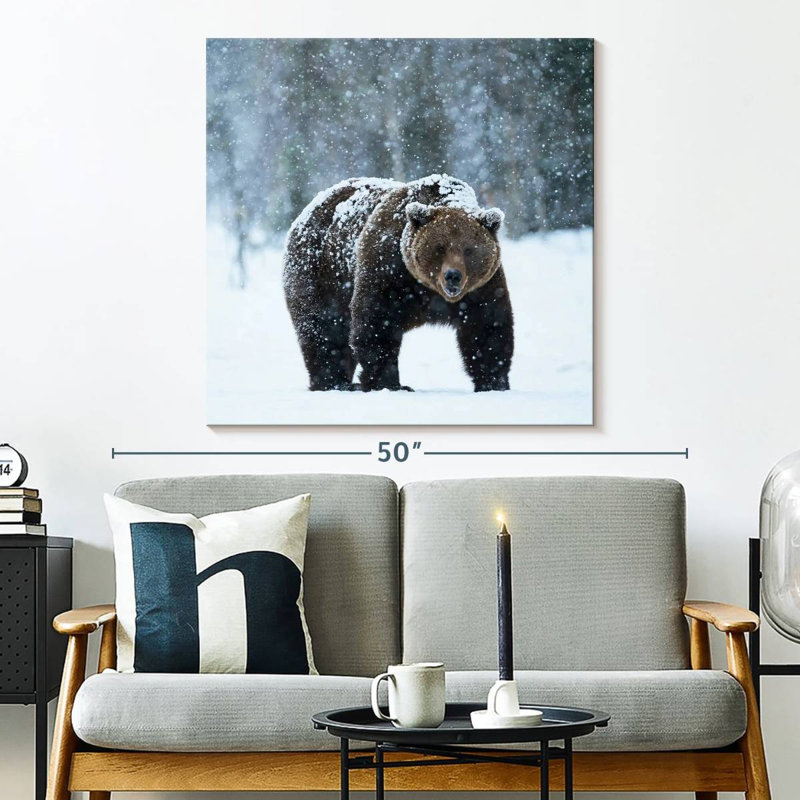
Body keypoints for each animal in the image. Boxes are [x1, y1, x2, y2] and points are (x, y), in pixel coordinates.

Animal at [283, 174, 513, 392]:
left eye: (469, 250)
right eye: (440, 247)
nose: (453, 275)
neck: (428, 289)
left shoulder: (482, 287)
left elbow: (487, 328)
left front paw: (493, 382)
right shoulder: (388, 270)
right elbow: (376, 323)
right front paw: (390, 383)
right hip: (321, 273)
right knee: (324, 330)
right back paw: (334, 382)